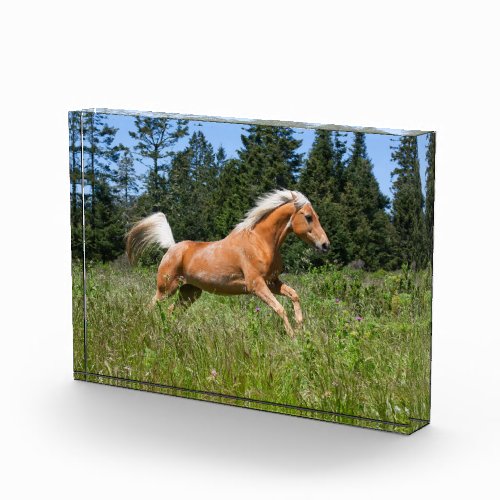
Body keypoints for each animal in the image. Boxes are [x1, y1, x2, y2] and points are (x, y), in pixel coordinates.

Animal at [126, 189, 328, 338]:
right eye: (308, 217)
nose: (325, 245)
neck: (260, 242)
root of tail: (172, 247)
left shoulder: (273, 282)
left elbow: (294, 295)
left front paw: (300, 327)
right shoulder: (256, 285)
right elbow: (280, 308)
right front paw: (292, 337)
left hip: (190, 293)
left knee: (170, 311)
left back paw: (171, 333)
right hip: (166, 289)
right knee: (152, 306)